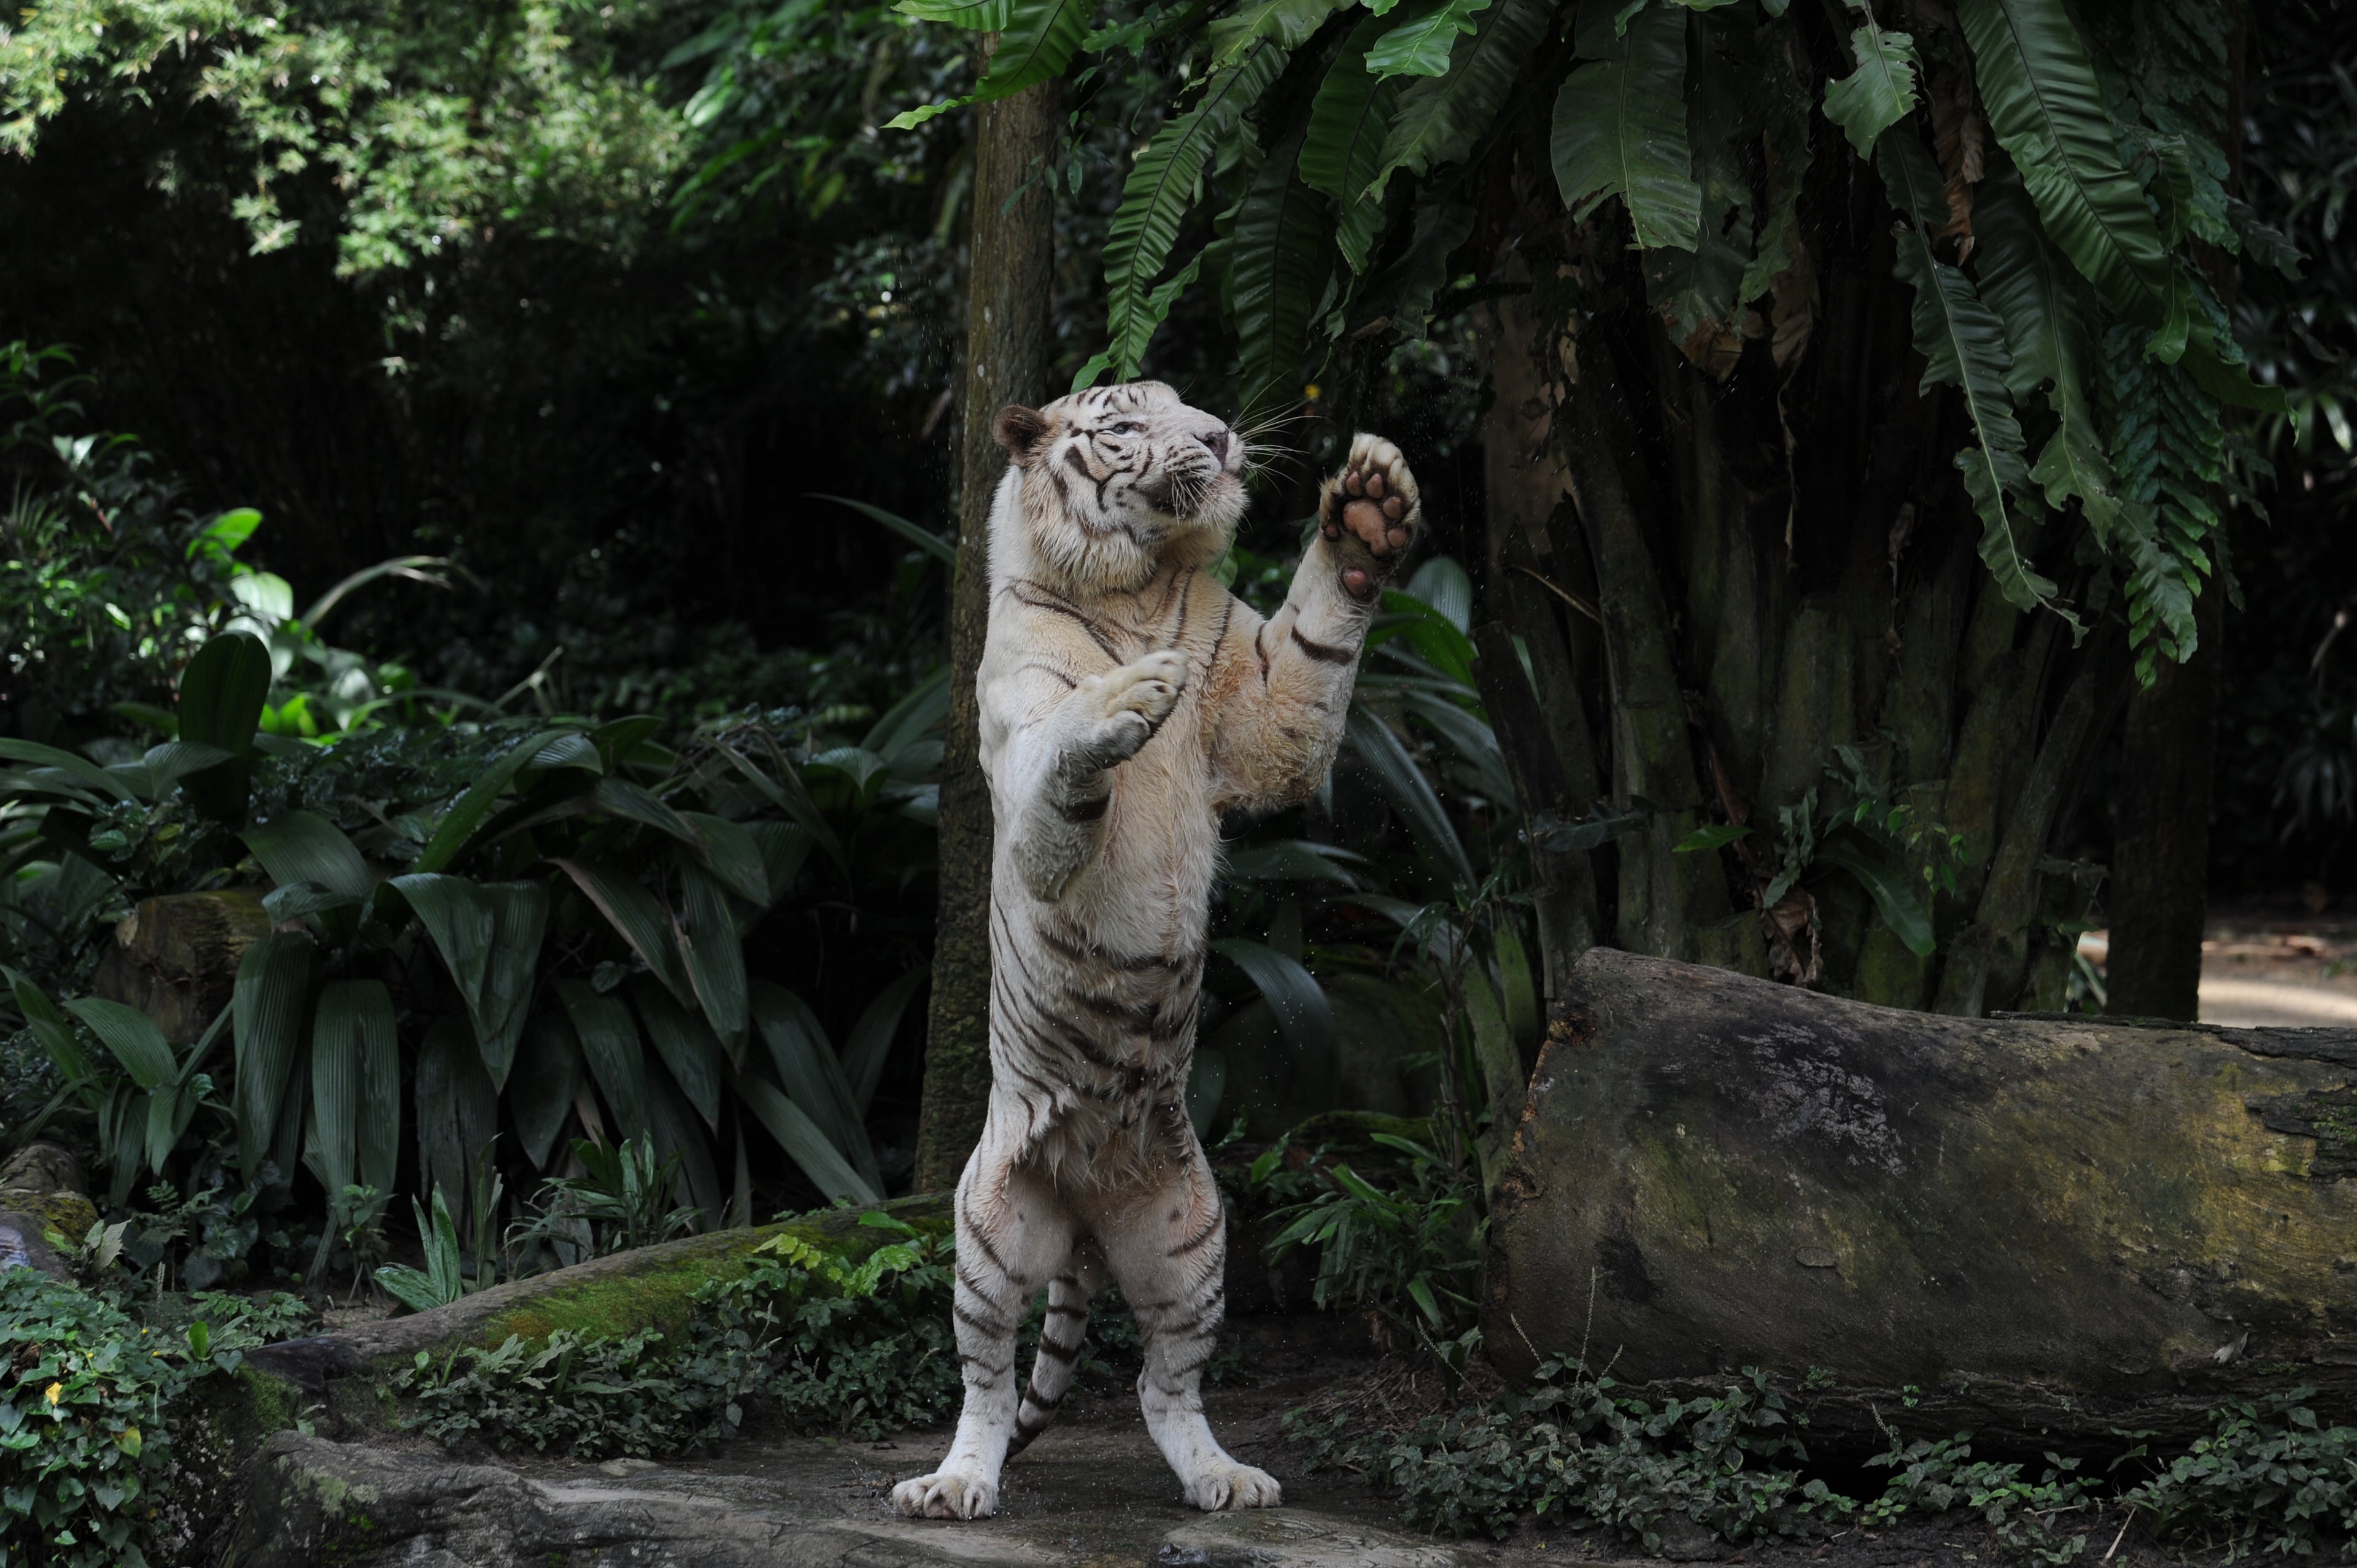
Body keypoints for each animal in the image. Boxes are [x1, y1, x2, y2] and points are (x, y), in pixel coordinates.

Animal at [890, 380, 1421, 1520]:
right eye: (1127, 424)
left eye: (1188, 402)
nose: (1219, 438)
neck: (1142, 583)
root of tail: (1085, 1225)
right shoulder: (1024, 753)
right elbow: (1064, 757)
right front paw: (1129, 696)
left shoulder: (1261, 704)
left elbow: (1309, 659)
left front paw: (1366, 514)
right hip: (987, 1231)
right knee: (987, 1384)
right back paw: (954, 1484)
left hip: (1193, 1237)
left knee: (1161, 1384)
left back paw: (1225, 1476)